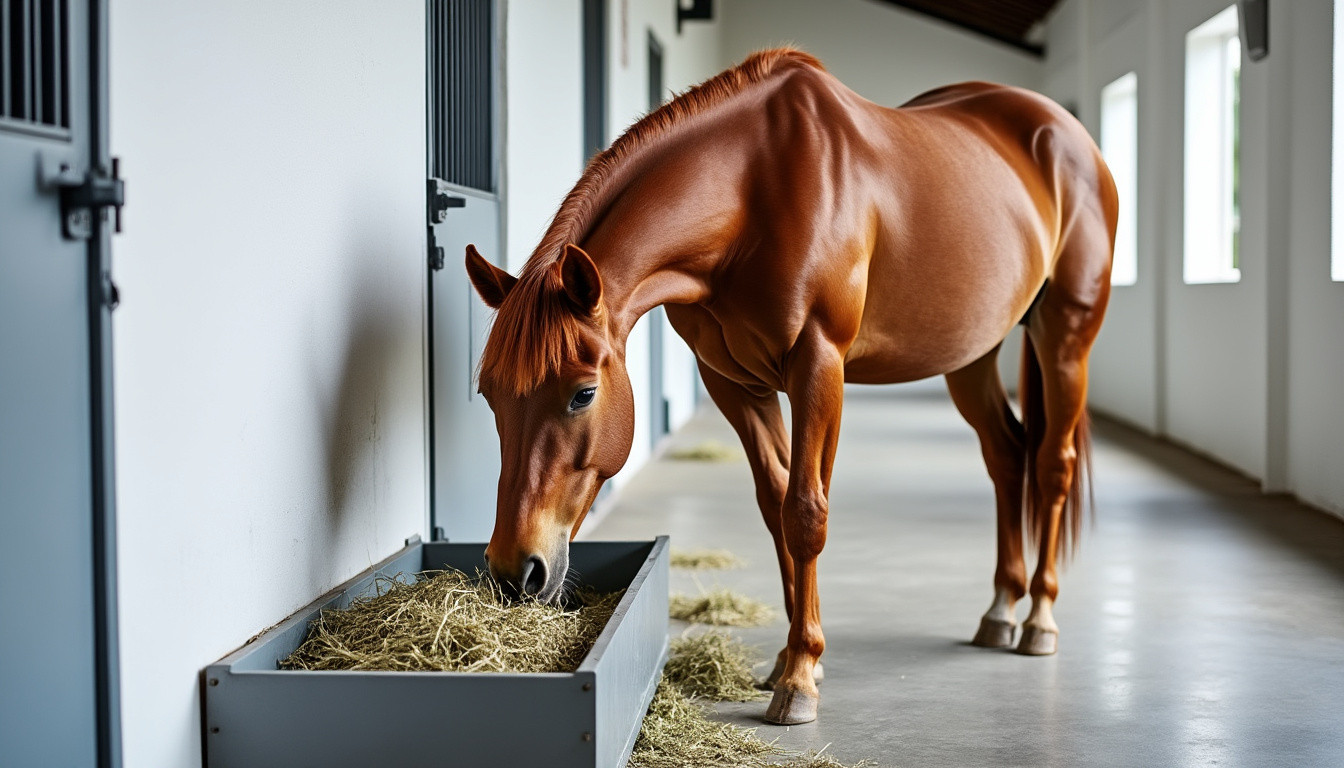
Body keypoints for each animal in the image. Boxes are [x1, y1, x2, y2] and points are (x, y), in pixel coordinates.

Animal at [465, 48, 1115, 725]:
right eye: (489, 395)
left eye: (583, 394)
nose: (513, 573)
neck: (756, 187)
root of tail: (1062, 132)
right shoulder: (734, 383)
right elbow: (776, 504)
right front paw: (789, 661)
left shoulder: (818, 364)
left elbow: (806, 511)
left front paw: (801, 677)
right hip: (972, 354)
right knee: (1007, 457)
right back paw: (1000, 611)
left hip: (1065, 337)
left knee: (1052, 464)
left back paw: (1039, 619)